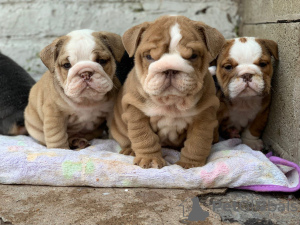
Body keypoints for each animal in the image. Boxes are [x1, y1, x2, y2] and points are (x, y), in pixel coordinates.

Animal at [110, 15, 225, 169]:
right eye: (149, 56)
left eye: (193, 56)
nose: (170, 69)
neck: (171, 101)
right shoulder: (136, 112)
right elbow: (144, 137)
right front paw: (150, 159)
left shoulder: (204, 117)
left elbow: (197, 142)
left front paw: (190, 164)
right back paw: (129, 150)